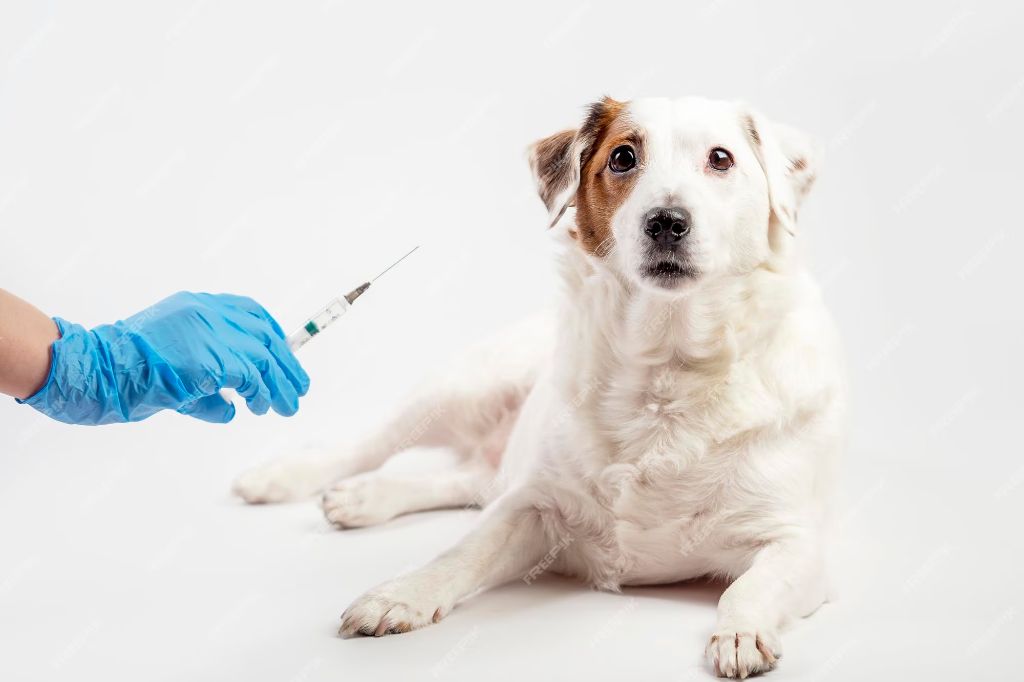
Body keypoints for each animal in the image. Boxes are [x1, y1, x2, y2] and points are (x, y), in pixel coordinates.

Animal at [235, 96, 843, 679]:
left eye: (721, 158)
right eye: (623, 158)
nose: (666, 221)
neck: (664, 363)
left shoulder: (799, 543)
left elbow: (750, 586)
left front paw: (740, 632)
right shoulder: (534, 505)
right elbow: (463, 551)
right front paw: (402, 592)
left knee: (464, 480)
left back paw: (366, 497)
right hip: (462, 390)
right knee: (370, 447)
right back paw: (290, 478)